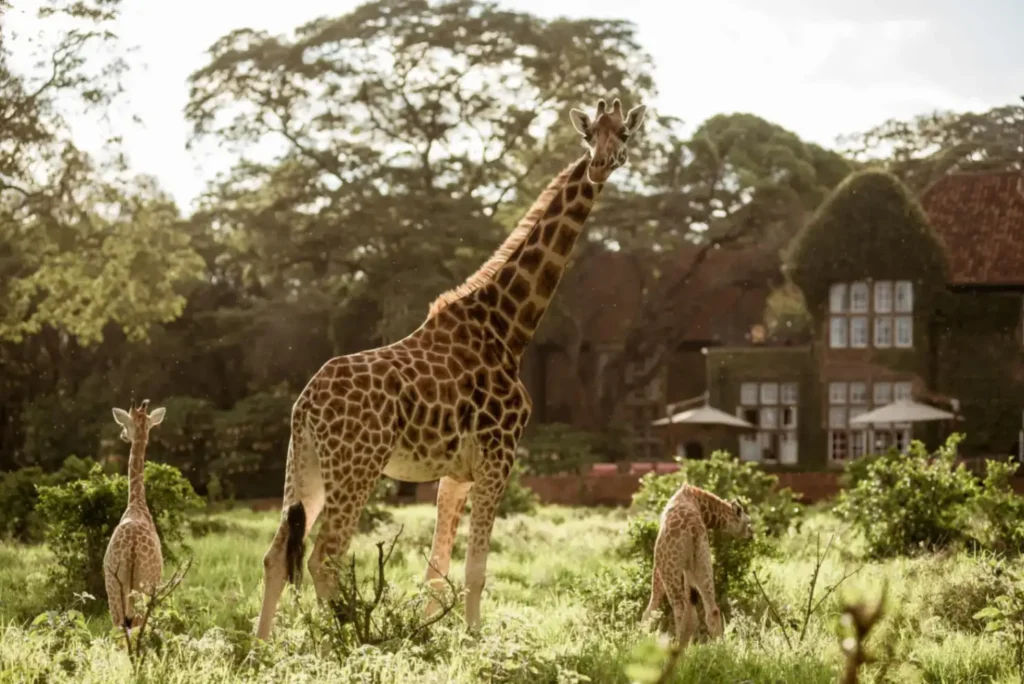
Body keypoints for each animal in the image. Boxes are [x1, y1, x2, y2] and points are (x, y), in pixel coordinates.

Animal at [103, 399, 166, 634]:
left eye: (125, 424)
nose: (122, 435)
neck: (136, 504)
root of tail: (131, 550)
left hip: (116, 587)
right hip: (141, 587)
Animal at [254, 97, 648, 640]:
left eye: (623, 134)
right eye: (590, 136)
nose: (601, 164)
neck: (509, 326)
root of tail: (305, 405)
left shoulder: (455, 471)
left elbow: (437, 570)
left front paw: (429, 636)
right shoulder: (499, 454)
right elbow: (476, 569)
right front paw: (474, 640)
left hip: (305, 467)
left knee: (276, 555)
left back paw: (262, 648)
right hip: (357, 466)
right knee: (323, 557)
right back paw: (356, 639)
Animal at [640, 484, 752, 646]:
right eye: (748, 522)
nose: (752, 533)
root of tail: (692, 529)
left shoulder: (659, 564)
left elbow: (652, 604)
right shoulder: (689, 566)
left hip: (669, 565)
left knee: (680, 607)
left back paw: (677, 645)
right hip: (703, 559)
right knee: (711, 609)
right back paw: (719, 646)